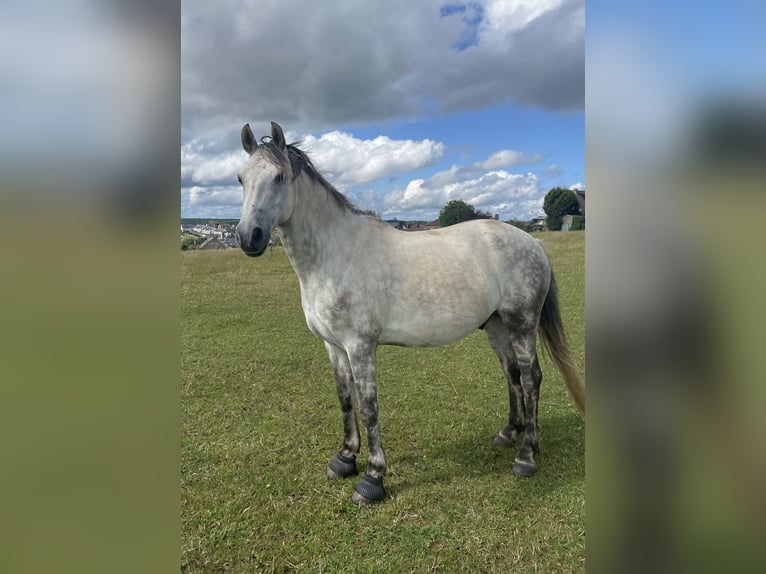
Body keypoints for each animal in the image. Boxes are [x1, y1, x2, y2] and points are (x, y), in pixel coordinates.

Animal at [237, 120, 584, 504]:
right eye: (240, 178)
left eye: (280, 177)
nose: (248, 237)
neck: (335, 254)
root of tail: (533, 241)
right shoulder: (334, 346)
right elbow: (345, 400)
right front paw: (345, 458)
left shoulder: (360, 347)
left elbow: (368, 407)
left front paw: (372, 477)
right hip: (496, 326)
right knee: (513, 374)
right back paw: (510, 433)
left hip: (522, 323)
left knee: (532, 377)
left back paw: (526, 455)